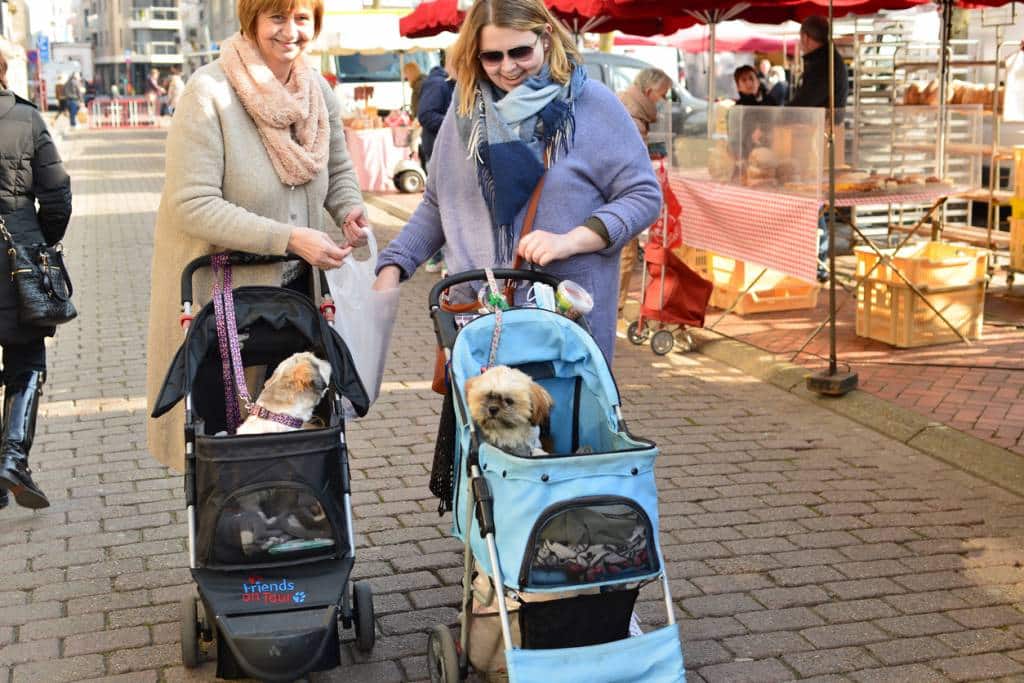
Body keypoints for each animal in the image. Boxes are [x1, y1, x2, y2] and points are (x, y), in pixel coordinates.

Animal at [423, 270, 688, 679]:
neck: (508, 437)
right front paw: (450, 663)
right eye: (485, 397)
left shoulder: (535, 448)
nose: (492, 409)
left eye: (509, 400)